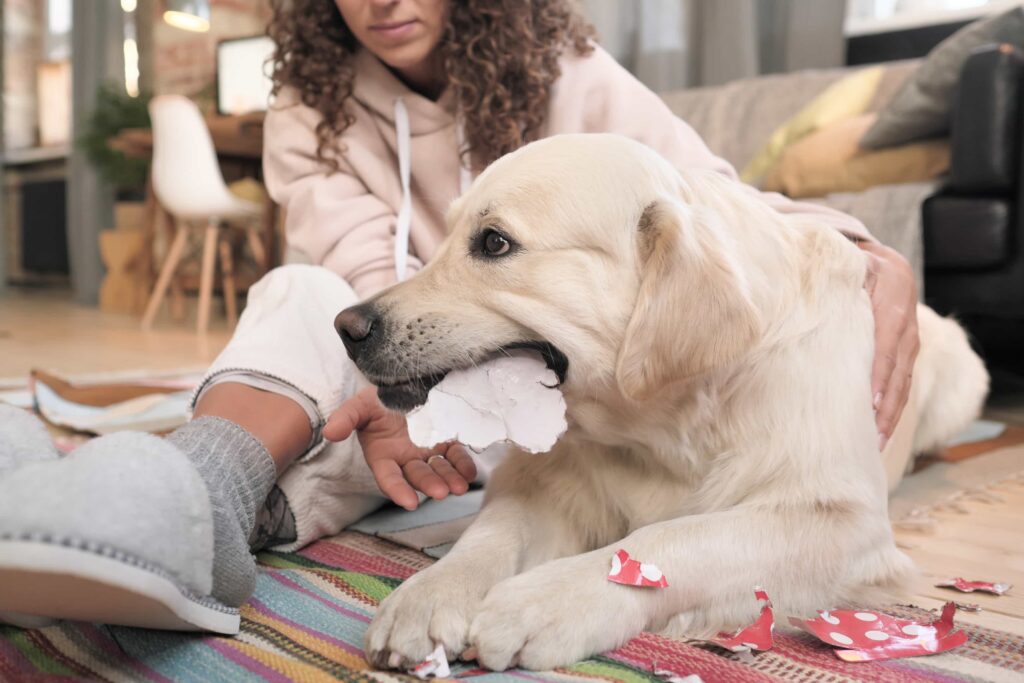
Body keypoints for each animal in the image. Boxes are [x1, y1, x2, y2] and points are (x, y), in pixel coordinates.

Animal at [337, 135, 991, 671]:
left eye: (494, 242)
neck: (663, 422)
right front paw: (429, 594)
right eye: (448, 235)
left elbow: (674, 538)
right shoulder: (542, 479)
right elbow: (489, 535)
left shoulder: (840, 520)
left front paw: (542, 602)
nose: (347, 326)